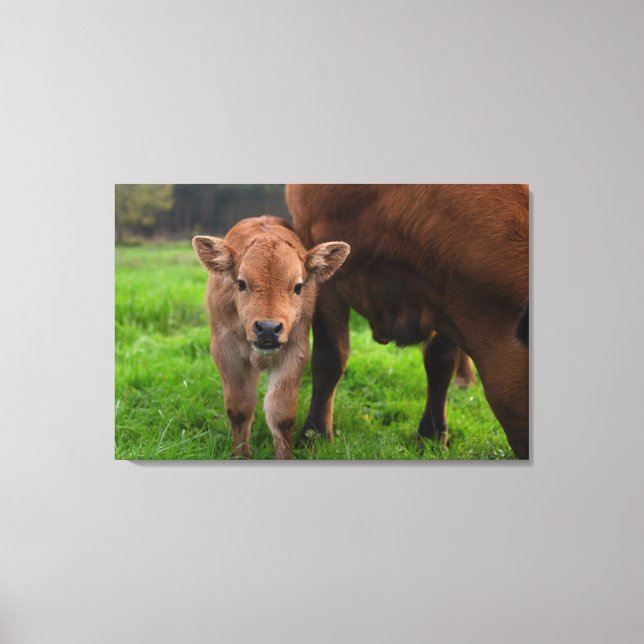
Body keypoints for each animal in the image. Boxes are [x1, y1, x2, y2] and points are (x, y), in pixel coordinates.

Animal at [192, 216, 350, 459]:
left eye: (298, 286)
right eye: (241, 283)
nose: (267, 328)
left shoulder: (295, 352)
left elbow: (281, 413)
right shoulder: (225, 351)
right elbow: (239, 408)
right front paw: (241, 455)